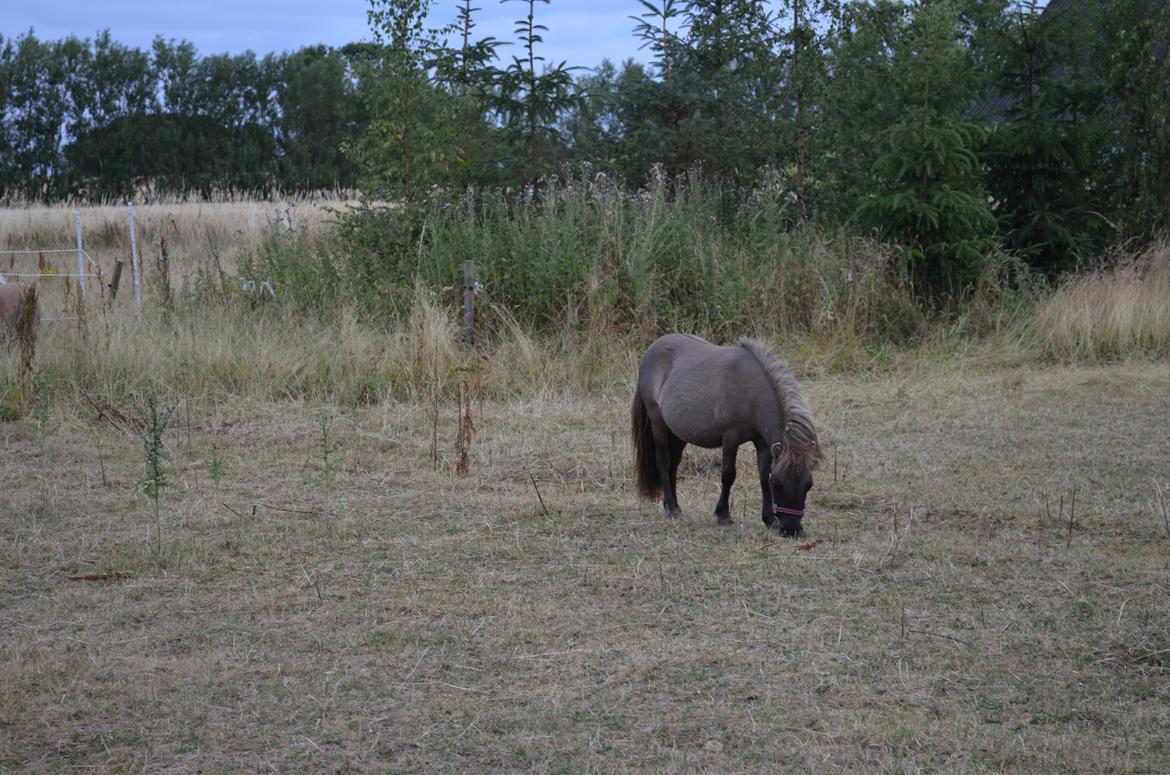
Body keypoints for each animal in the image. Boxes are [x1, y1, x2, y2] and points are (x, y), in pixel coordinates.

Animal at [631, 337, 823, 538]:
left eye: (808, 485)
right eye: (777, 484)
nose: (791, 530)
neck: (751, 390)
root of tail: (652, 349)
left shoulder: (762, 443)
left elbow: (763, 477)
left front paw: (769, 520)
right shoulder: (731, 438)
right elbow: (728, 475)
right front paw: (723, 514)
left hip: (678, 432)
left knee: (673, 465)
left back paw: (672, 506)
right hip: (658, 422)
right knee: (663, 461)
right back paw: (673, 509)